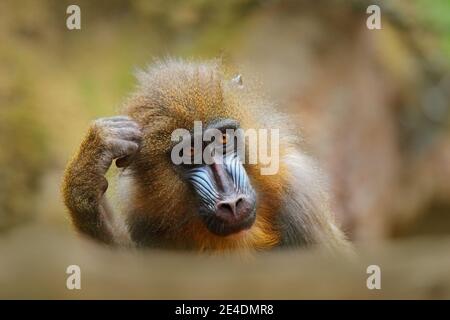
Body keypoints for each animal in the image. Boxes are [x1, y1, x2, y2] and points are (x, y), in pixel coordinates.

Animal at [62, 57, 352, 252]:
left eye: (222, 139)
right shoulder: (143, 217)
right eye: (188, 152)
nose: (232, 203)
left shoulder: (300, 197)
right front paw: (88, 170)